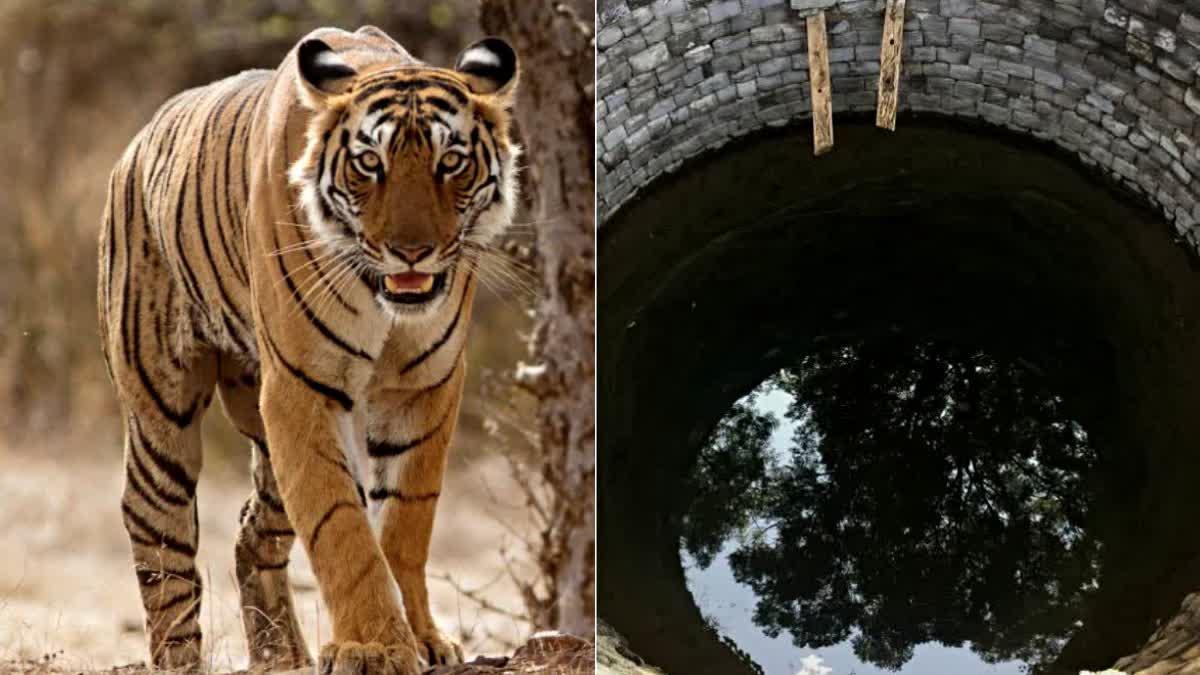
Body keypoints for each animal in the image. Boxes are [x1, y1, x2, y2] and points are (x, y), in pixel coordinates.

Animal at [97, 25, 520, 674]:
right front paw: (374, 646)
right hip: (160, 409)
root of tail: (138, 142)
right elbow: (340, 524)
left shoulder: (425, 386)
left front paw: (421, 637)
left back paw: (281, 655)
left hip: (261, 435)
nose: (412, 252)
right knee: (157, 532)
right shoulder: (302, 389)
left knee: (253, 531)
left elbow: (405, 519)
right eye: (370, 164)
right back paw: (181, 658)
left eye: (451, 162)